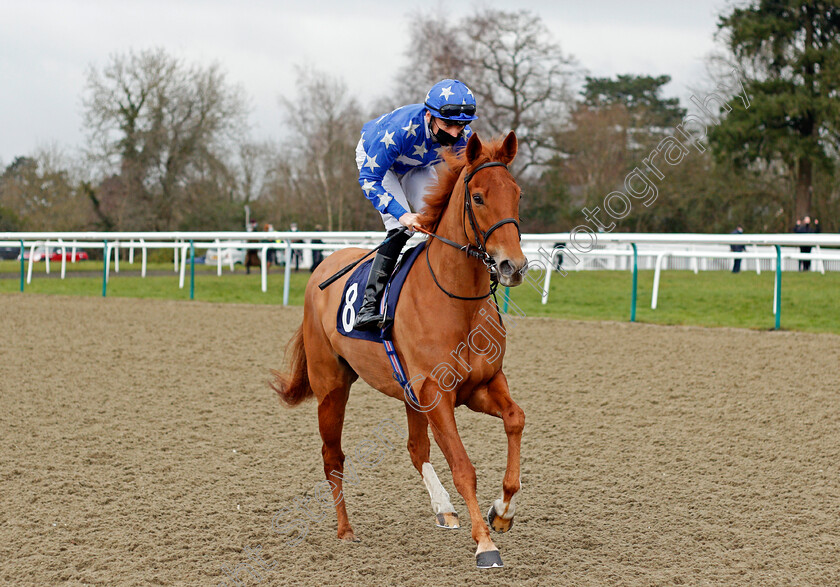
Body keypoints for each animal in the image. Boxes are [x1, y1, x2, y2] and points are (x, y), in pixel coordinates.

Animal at [272, 130, 528, 568]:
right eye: (478, 197)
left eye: (517, 194)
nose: (514, 266)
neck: (457, 300)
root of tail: (322, 266)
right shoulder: (438, 393)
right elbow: (463, 466)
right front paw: (485, 545)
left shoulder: (482, 384)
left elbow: (515, 419)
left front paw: (502, 511)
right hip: (332, 387)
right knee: (332, 459)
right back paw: (345, 530)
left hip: (409, 394)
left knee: (414, 447)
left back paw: (444, 509)